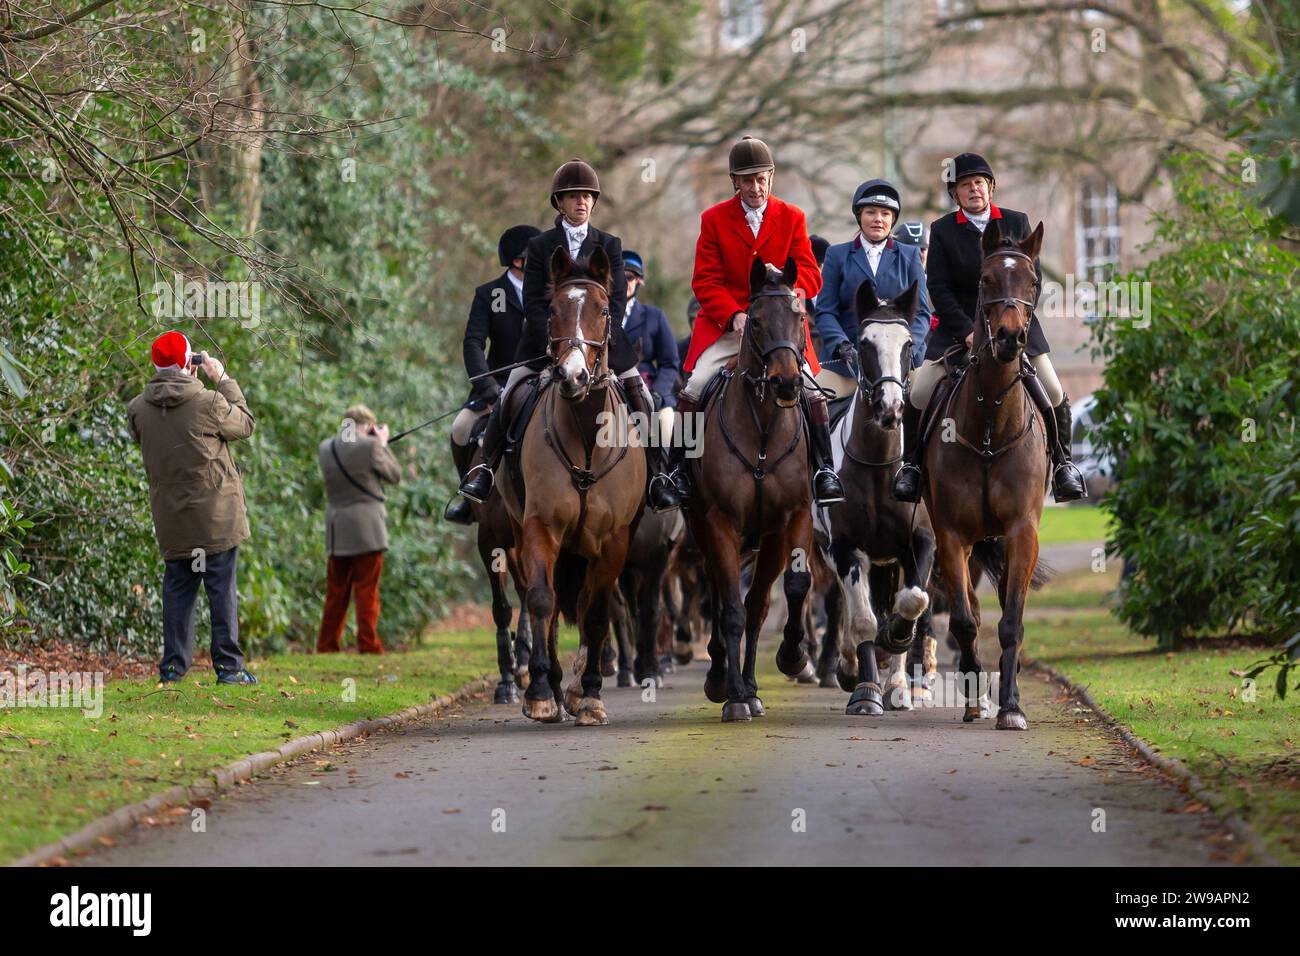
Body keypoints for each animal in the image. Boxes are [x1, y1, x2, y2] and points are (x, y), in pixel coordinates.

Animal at [496, 244, 644, 723]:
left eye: (603, 310)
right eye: (553, 309)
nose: (572, 376)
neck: (585, 434)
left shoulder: (615, 539)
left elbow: (596, 614)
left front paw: (591, 694)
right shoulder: (541, 527)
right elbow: (543, 599)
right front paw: (542, 692)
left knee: (585, 603)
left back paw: (579, 686)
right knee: (547, 596)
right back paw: (557, 684)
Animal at [691, 257, 811, 723]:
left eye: (800, 317)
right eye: (756, 321)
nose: (786, 383)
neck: (762, 429)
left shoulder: (789, 521)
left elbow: (777, 596)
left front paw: (789, 658)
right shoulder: (720, 523)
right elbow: (731, 610)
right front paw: (735, 694)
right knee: (715, 596)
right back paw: (719, 677)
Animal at [811, 280, 935, 712]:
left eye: (908, 344)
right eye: (863, 345)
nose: (890, 408)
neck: (880, 467)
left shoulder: (920, 541)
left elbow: (912, 600)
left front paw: (895, 643)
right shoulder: (845, 547)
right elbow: (862, 618)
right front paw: (864, 689)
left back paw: (896, 682)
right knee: (847, 607)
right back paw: (850, 666)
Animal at [925, 221, 1055, 728]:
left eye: (1033, 283)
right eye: (985, 280)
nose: (1009, 338)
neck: (989, 424)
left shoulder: (1022, 530)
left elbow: (1012, 621)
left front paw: (1012, 706)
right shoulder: (950, 535)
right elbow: (964, 621)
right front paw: (974, 698)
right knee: (974, 613)